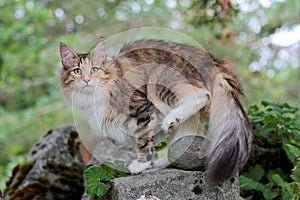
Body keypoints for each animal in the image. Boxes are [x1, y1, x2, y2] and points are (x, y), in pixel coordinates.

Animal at [59, 36, 253, 184]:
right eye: (77, 71)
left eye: (94, 70)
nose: (86, 80)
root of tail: (213, 62)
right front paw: (149, 164)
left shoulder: (140, 108)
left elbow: (143, 139)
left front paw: (141, 165)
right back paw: (164, 160)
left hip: (159, 79)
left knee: (201, 95)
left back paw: (171, 120)